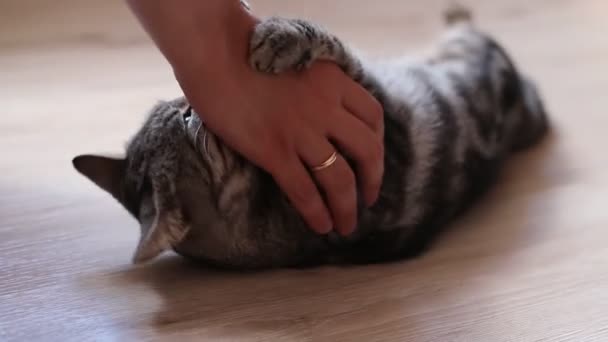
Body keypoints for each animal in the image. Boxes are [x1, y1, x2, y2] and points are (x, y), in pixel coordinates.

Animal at [72, 3, 552, 270]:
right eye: (188, 121)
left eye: (181, 111)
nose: (191, 104)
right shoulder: (380, 129)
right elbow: (335, 46)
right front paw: (281, 38)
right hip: (475, 53)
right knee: (470, 30)